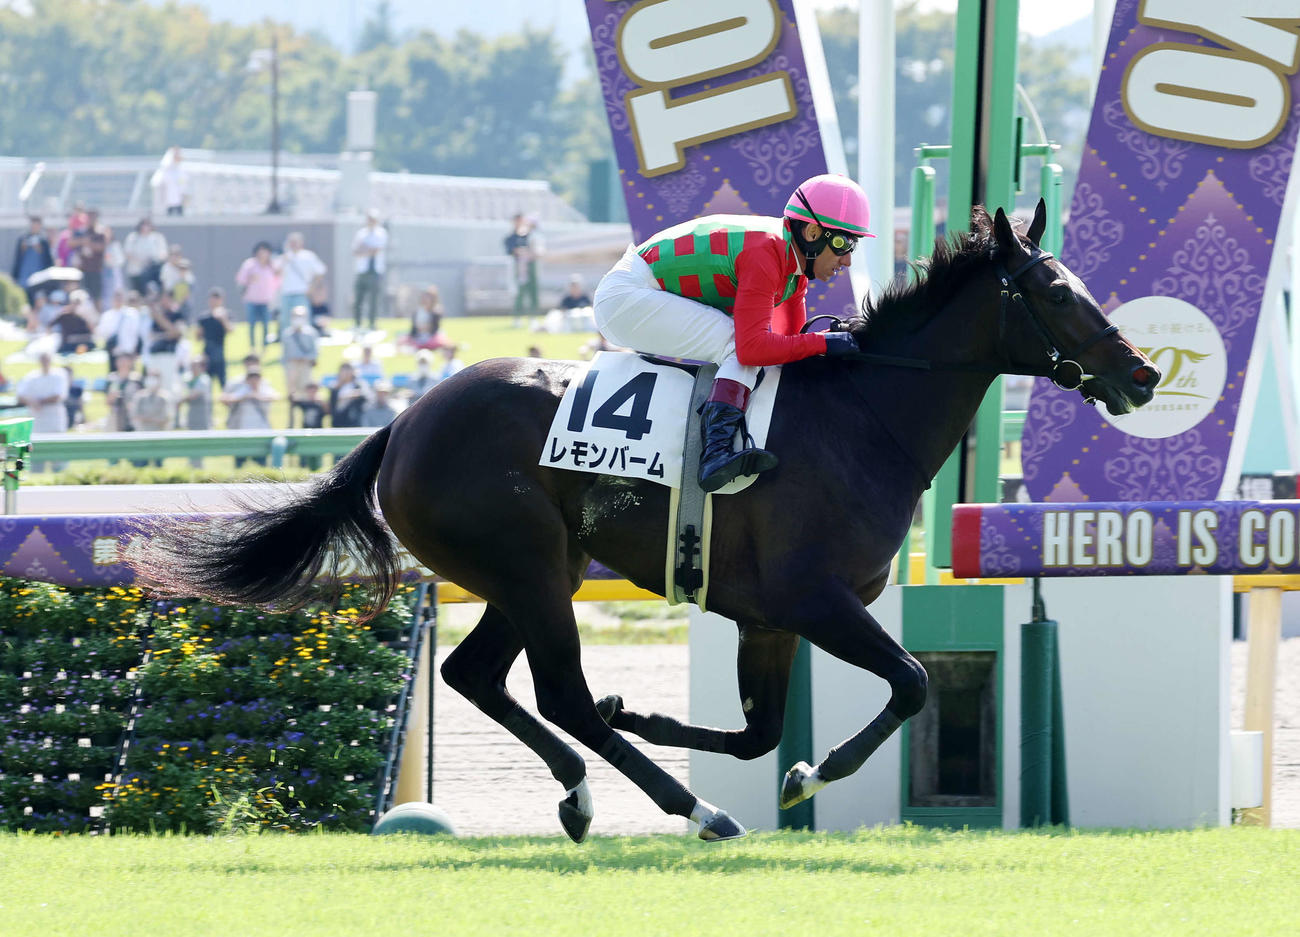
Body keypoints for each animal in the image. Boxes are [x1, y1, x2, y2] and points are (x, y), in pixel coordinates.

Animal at [136, 202, 1160, 842]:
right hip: (530, 565)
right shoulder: (813, 598)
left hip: (530, 572)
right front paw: (811, 775)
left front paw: (668, 718)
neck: (864, 417)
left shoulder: (767, 618)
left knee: (481, 677)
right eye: (1057, 292)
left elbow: (755, 733)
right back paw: (692, 809)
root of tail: (403, 422)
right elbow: (907, 683)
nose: (1144, 373)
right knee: (561, 693)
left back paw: (586, 793)